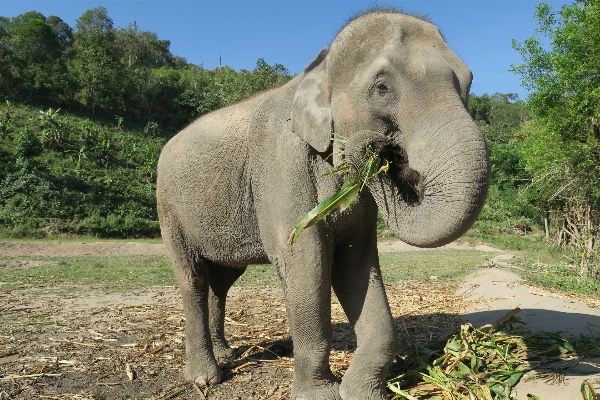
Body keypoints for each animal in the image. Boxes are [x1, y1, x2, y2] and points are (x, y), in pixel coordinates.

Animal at [156, 9, 488, 400]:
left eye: (468, 82)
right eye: (382, 88)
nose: (374, 148)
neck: (319, 68)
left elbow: (355, 262)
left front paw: (362, 392)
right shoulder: (280, 164)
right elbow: (306, 262)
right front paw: (320, 393)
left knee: (220, 281)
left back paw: (225, 354)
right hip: (169, 208)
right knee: (192, 278)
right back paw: (206, 377)